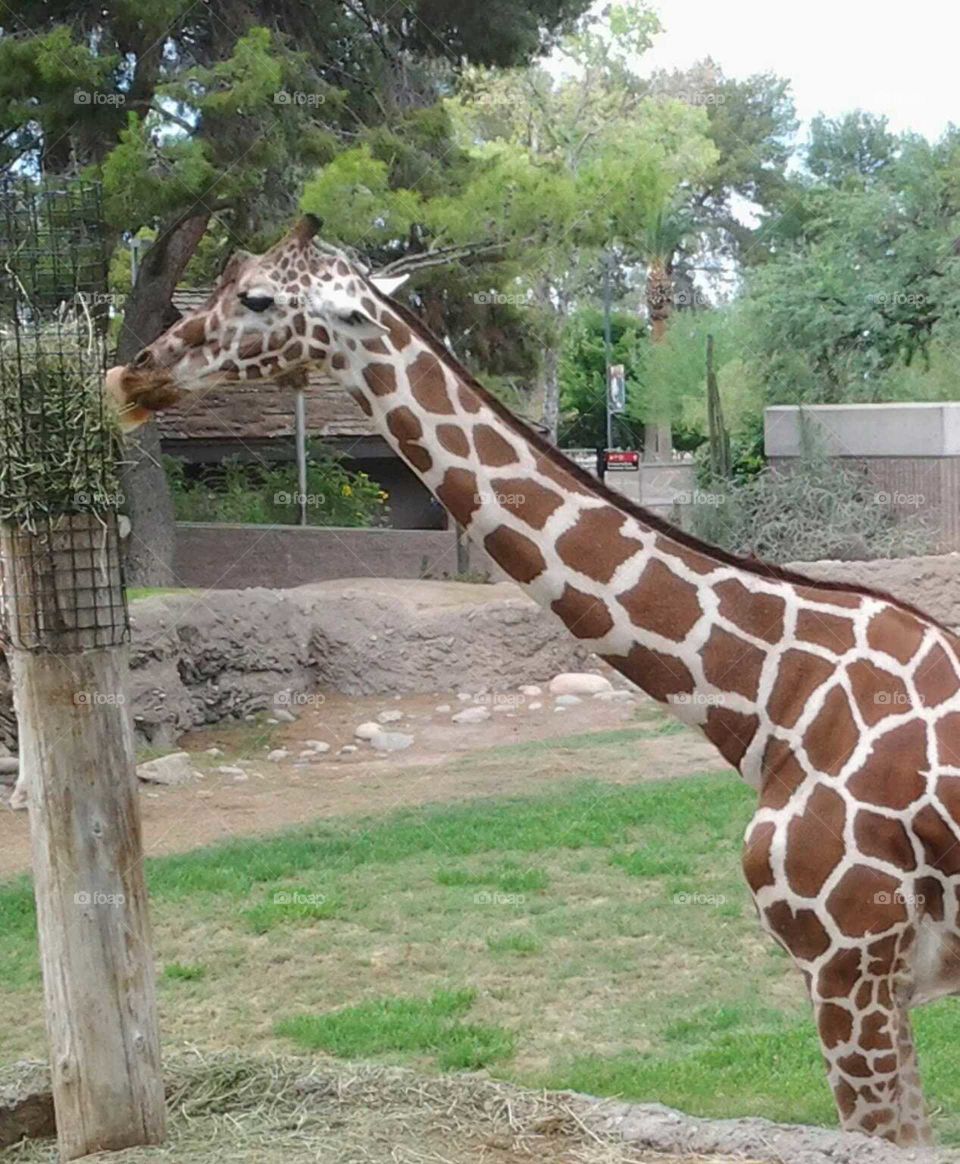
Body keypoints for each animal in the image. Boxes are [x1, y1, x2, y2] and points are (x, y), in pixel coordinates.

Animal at [109, 215, 960, 1148]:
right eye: (226, 276)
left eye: (257, 299)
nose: (132, 374)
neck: (774, 689)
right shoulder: (878, 980)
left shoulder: (848, 964)